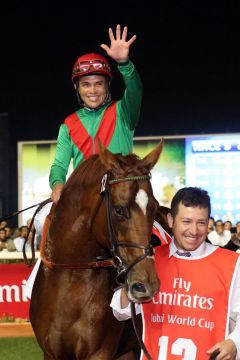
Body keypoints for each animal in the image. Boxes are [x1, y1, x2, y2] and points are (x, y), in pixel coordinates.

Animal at [30, 141, 164, 360]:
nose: (146, 284)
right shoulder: (51, 353)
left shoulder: (99, 352)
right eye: (119, 209)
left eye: (154, 207)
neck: (70, 278)